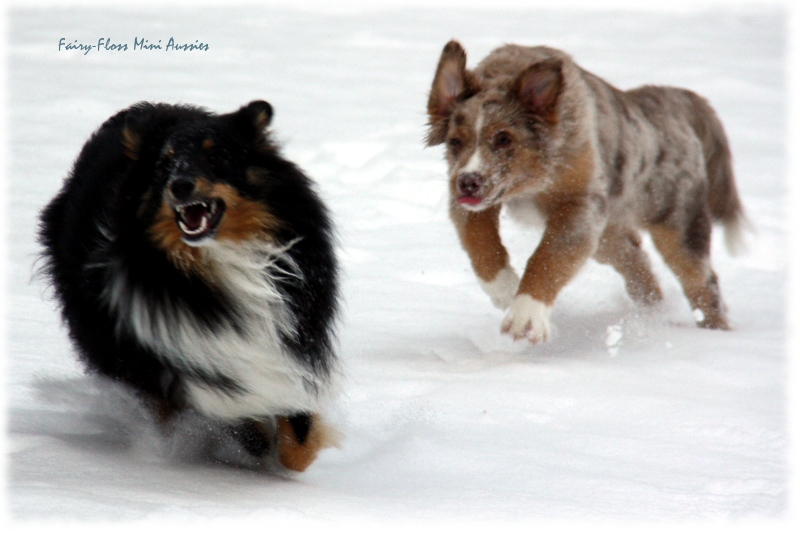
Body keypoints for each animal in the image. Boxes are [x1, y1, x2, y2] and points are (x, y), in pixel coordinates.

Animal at [39, 100, 340, 470]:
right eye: (164, 163)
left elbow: (297, 445)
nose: (180, 185)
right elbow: (240, 423)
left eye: (217, 156)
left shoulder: (289, 347)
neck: (221, 261)